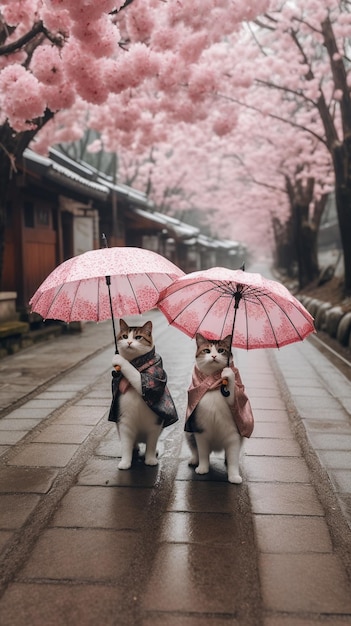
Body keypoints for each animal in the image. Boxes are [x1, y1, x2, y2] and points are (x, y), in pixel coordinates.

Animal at [108, 316, 179, 468]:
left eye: (138, 337)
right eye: (124, 336)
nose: (129, 342)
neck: (137, 362)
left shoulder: (152, 381)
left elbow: (151, 444)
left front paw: (150, 460)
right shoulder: (124, 422)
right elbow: (126, 444)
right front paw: (125, 463)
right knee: (132, 443)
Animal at [186, 332, 254, 482]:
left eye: (221, 350)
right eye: (207, 350)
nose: (213, 356)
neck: (214, 384)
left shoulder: (234, 435)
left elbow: (233, 458)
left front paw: (234, 476)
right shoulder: (201, 431)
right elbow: (203, 452)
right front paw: (203, 468)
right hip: (189, 432)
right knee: (195, 449)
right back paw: (194, 460)